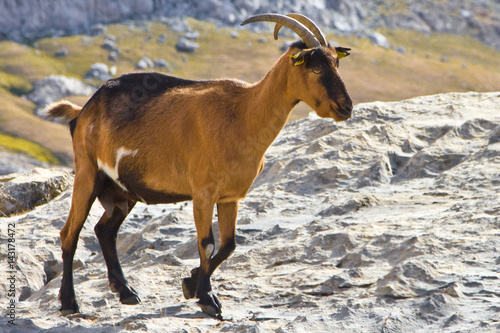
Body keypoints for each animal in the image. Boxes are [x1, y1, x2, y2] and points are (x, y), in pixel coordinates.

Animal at [45, 13, 354, 320]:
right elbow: (207, 244)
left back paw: (126, 291)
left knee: (105, 231)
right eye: (316, 69)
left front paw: (191, 283)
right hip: (87, 173)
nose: (346, 107)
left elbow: (229, 245)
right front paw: (208, 299)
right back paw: (70, 302)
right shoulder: (203, 193)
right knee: (70, 233)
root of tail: (83, 112)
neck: (243, 114)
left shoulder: (230, 197)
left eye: (337, 64)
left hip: (122, 189)